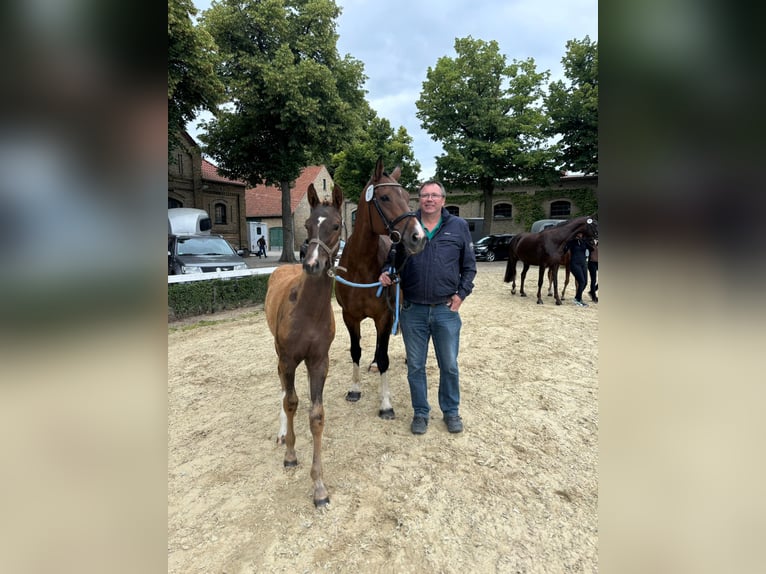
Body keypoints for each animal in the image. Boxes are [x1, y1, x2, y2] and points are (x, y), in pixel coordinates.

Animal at [336, 160, 428, 420]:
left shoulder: (385, 316)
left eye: (407, 197)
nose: (418, 237)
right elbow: (355, 351)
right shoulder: (350, 317)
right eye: (385, 197)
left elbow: (386, 356)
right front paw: (355, 390)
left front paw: (385, 404)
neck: (360, 267)